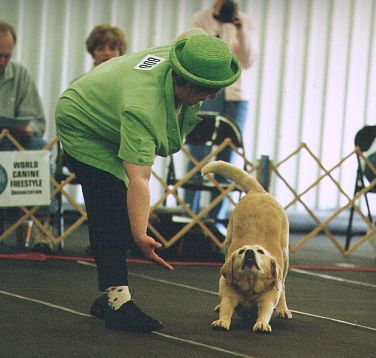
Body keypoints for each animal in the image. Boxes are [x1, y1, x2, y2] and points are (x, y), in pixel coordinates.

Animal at [201, 161, 292, 334]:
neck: (250, 284)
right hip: (227, 241)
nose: (249, 252)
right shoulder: (228, 292)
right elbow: (227, 307)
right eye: (241, 251)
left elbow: (265, 311)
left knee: (283, 285)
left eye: (261, 251)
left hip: (285, 257)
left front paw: (261, 323)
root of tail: (259, 191)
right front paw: (222, 320)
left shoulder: (268, 297)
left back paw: (283, 309)